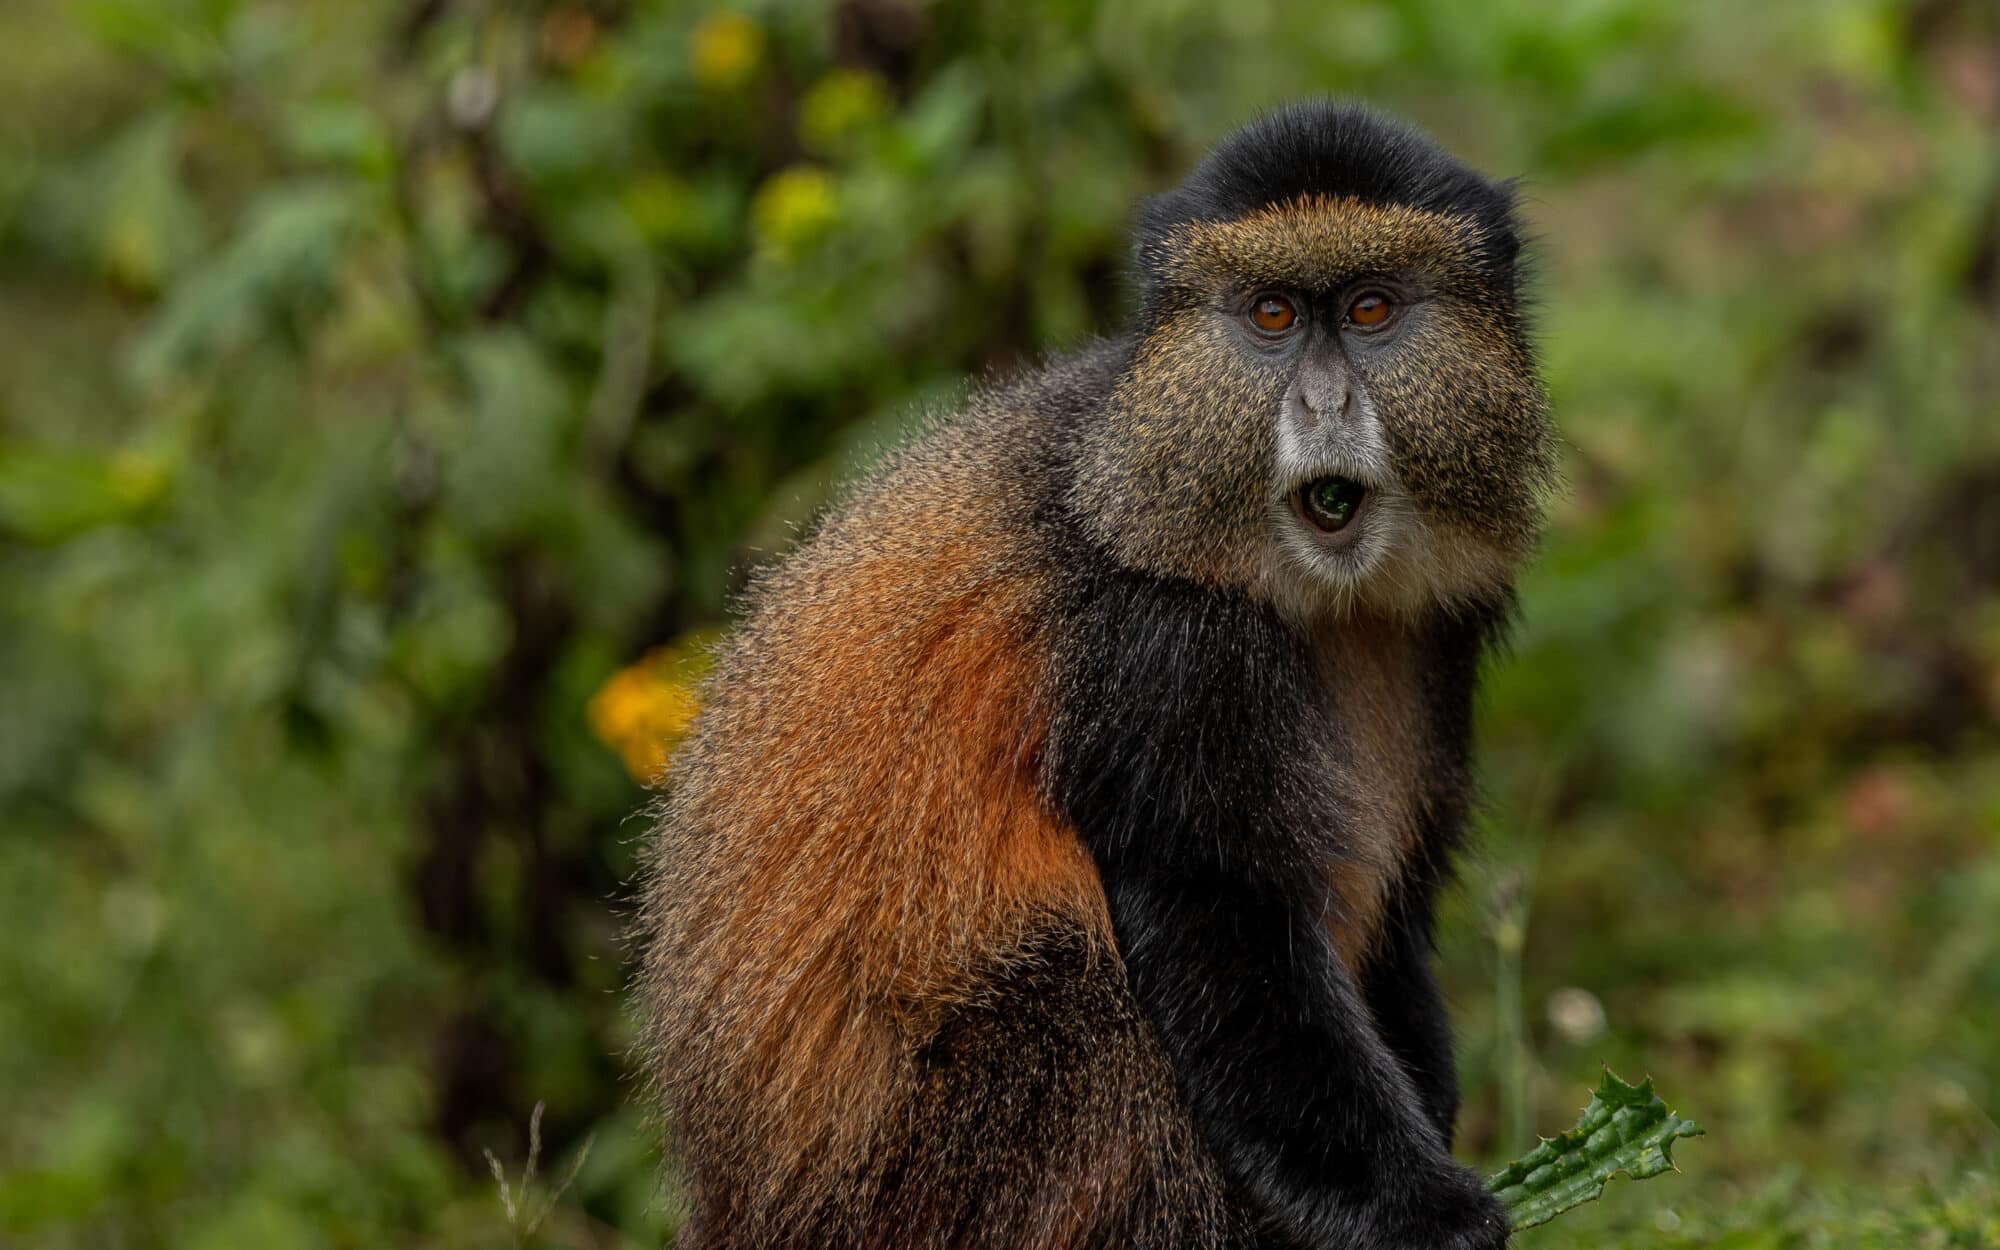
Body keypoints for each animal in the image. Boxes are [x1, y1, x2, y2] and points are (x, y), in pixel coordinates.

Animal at [637, 99, 1554, 1250]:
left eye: (1370, 308)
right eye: (1269, 315)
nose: (1323, 401)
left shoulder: (1440, 633)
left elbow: (1394, 914)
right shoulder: (1159, 644)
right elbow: (1216, 914)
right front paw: (1425, 1211)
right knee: (1093, 1000)